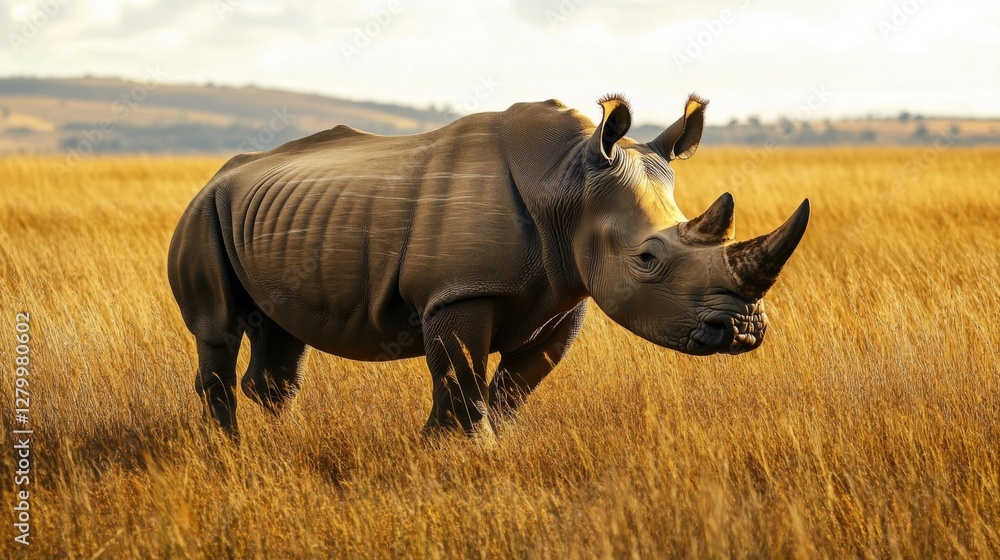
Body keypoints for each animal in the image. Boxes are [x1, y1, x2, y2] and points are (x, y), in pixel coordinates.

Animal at [168, 93, 809, 440]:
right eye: (648, 259)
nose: (744, 330)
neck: (569, 183)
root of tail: (217, 174)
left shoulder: (567, 291)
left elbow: (512, 385)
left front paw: (469, 447)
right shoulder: (459, 291)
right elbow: (463, 379)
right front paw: (462, 451)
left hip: (273, 215)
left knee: (282, 333)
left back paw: (286, 444)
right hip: (201, 211)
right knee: (218, 330)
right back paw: (233, 453)